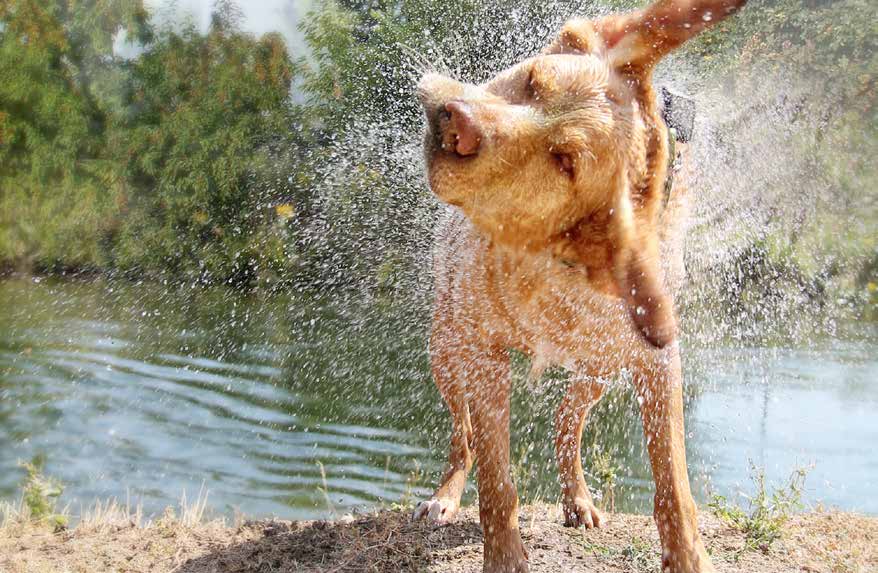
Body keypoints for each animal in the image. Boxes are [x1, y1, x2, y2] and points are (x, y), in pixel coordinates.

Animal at [414, 1, 748, 572]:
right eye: (531, 80)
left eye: (563, 160)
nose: (456, 120)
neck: (553, 258)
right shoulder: (483, 353)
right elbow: (497, 481)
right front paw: (505, 556)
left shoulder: (657, 361)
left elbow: (673, 483)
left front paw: (687, 556)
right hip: (446, 351)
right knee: (464, 435)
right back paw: (445, 496)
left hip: (598, 366)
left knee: (565, 418)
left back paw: (577, 499)